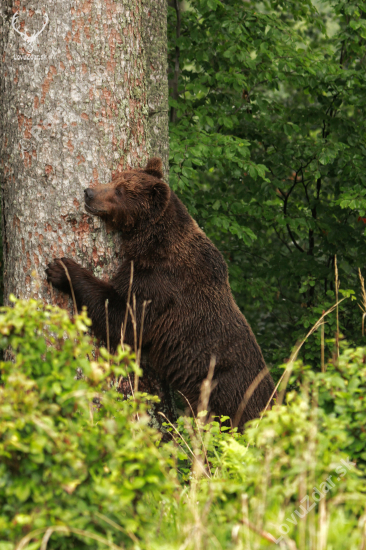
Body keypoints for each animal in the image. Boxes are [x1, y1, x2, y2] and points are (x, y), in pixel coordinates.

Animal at [45, 157, 274, 430]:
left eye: (120, 191)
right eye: (115, 179)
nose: (89, 193)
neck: (153, 243)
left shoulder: (159, 283)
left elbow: (124, 319)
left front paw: (62, 269)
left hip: (226, 399)